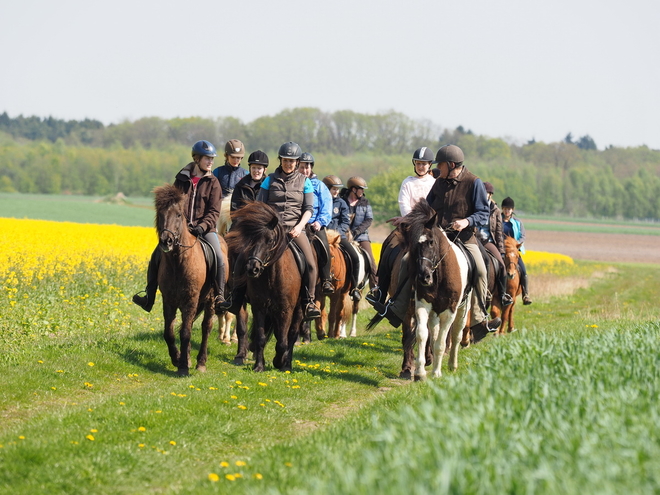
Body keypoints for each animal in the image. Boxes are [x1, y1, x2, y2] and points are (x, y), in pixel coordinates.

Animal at [153, 185, 228, 376]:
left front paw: (183, 367)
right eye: (160, 213)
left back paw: (201, 362)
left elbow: (186, 332)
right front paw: (178, 358)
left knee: (206, 327)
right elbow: (170, 332)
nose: (166, 241)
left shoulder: (191, 300)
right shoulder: (169, 300)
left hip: (210, 300)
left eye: (179, 214)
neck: (178, 262)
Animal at [223, 202, 302, 372]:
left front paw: (279, 362)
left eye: (270, 240)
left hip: (299, 309)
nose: (252, 268)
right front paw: (259, 365)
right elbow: (259, 336)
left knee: (291, 335)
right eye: (249, 239)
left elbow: (283, 341)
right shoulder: (258, 307)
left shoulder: (286, 309)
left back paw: (287, 364)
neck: (271, 277)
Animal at [398, 200, 470, 382]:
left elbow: (441, 343)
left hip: (463, 308)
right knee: (434, 332)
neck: (439, 276)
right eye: (414, 244)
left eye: (431, 242)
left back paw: (452, 365)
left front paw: (437, 372)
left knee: (456, 334)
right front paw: (420, 372)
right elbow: (422, 335)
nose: (424, 277)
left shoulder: (450, 311)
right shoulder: (423, 305)